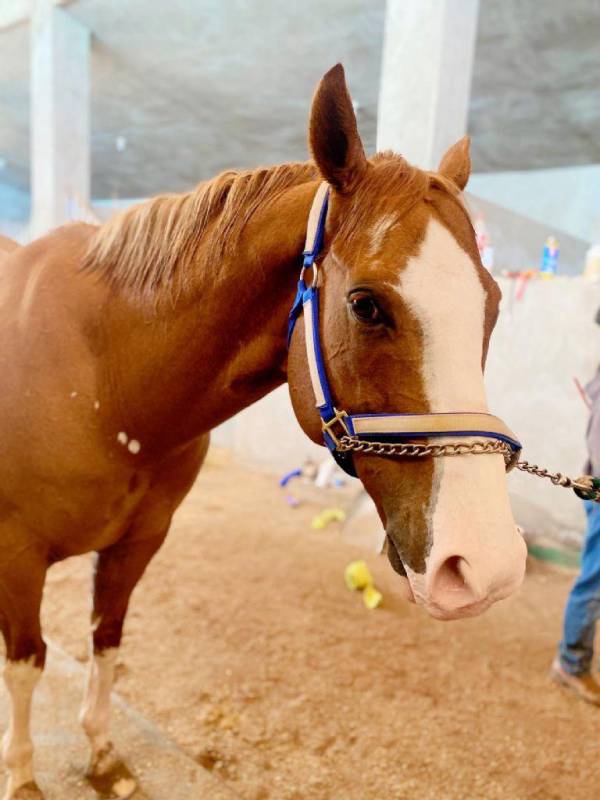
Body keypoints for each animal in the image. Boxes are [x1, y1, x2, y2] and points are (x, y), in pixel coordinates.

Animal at [0, 64, 524, 800]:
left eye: (493, 303)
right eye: (366, 305)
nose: (488, 566)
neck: (103, 378)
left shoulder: (136, 545)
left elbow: (107, 639)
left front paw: (102, 751)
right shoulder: (15, 557)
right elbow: (27, 664)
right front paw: (22, 773)